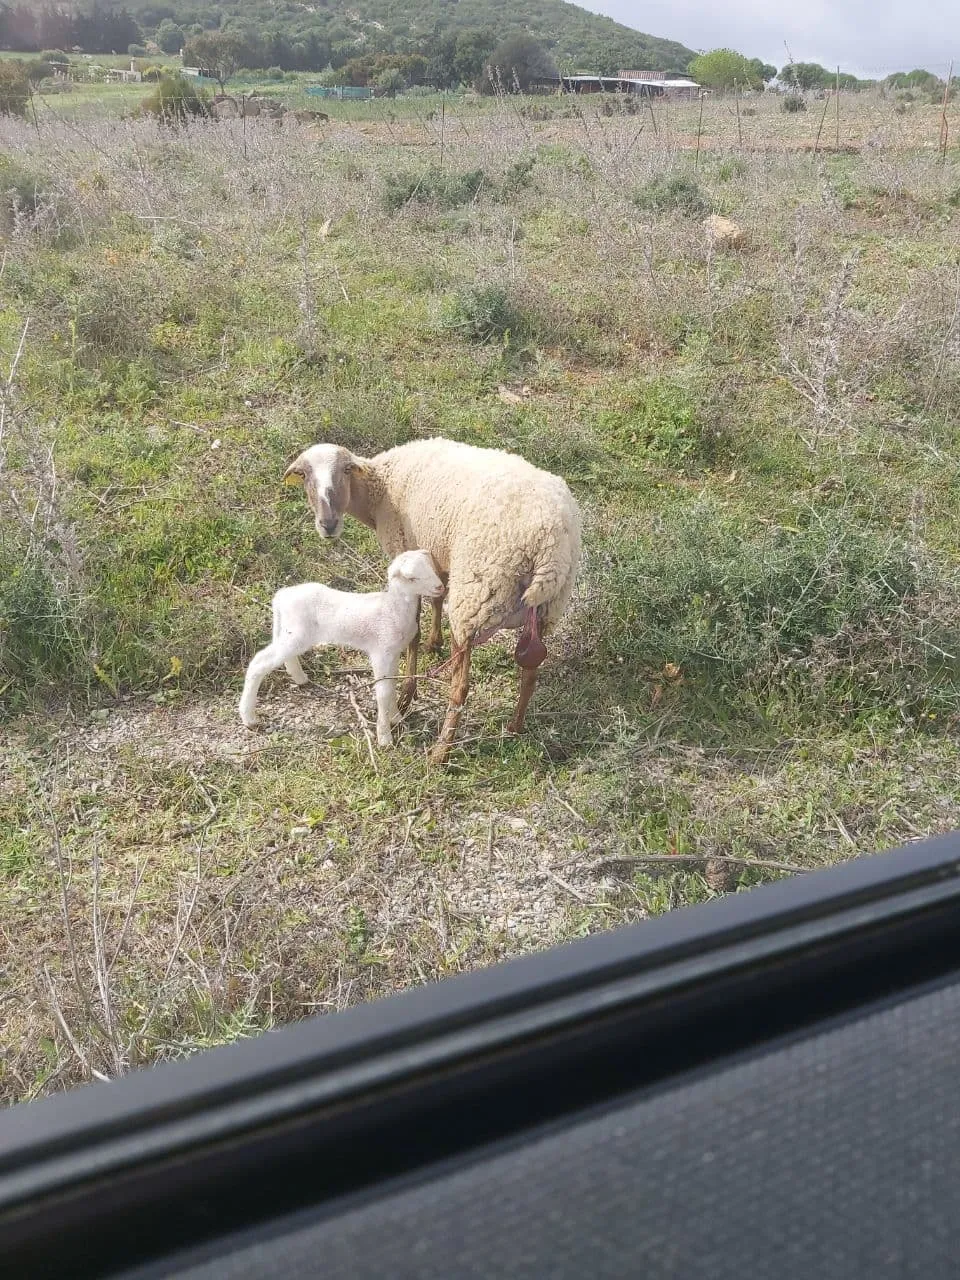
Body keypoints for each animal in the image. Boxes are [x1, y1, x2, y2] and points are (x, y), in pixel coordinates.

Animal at [239, 550, 445, 747]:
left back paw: (300, 678)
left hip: (291, 633)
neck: (392, 608)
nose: (440, 587)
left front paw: (396, 718)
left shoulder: (393, 653)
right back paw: (248, 717)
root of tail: (281, 596)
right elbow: (383, 692)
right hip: (296, 633)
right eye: (412, 578)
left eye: (431, 568)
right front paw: (385, 737)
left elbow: (391, 686)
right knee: (258, 663)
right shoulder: (380, 652)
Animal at [281, 435, 583, 762]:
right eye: (304, 475)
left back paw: (441, 752)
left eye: (346, 470)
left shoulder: (406, 549)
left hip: (474, 597)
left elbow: (413, 631)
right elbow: (438, 596)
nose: (328, 524)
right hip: (548, 608)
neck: (380, 487)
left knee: (460, 686)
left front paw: (407, 694)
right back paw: (514, 728)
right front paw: (434, 642)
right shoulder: (436, 552)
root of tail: (548, 546)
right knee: (529, 674)